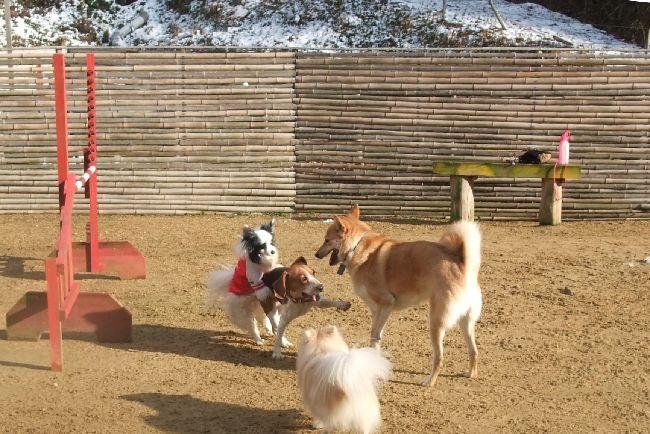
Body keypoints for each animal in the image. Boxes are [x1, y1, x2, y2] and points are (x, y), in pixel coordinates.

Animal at [314, 205, 482, 387]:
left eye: (326, 240)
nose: (316, 255)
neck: (356, 246)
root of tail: (462, 263)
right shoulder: (378, 311)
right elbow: (377, 336)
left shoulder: (385, 304)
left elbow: (374, 336)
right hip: (465, 322)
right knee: (474, 350)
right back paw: (471, 373)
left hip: (436, 322)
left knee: (439, 358)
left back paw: (429, 381)